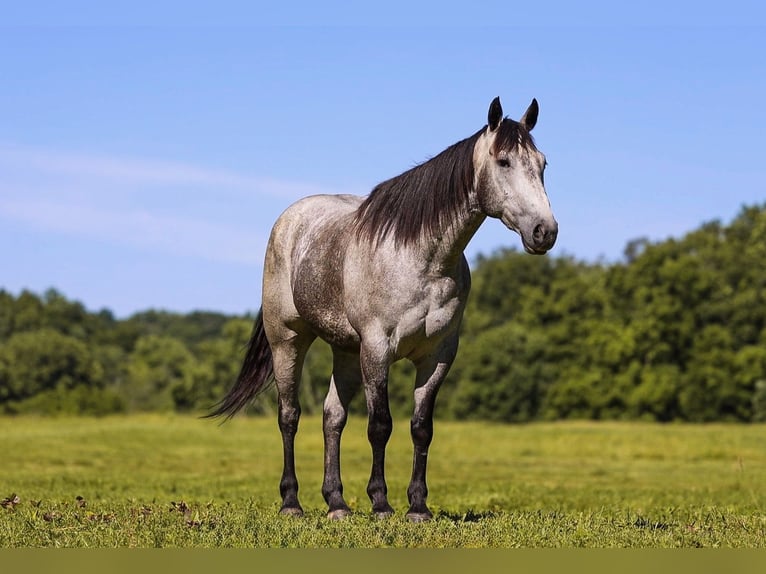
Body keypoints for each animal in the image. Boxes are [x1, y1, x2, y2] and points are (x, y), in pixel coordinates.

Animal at [209, 97, 558, 522]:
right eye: (504, 161)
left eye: (542, 164)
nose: (545, 232)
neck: (422, 260)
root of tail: (289, 219)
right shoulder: (377, 349)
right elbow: (380, 425)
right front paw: (381, 503)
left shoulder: (438, 355)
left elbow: (421, 427)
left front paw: (418, 506)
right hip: (288, 340)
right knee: (289, 416)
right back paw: (292, 502)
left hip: (344, 350)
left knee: (332, 417)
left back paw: (337, 503)